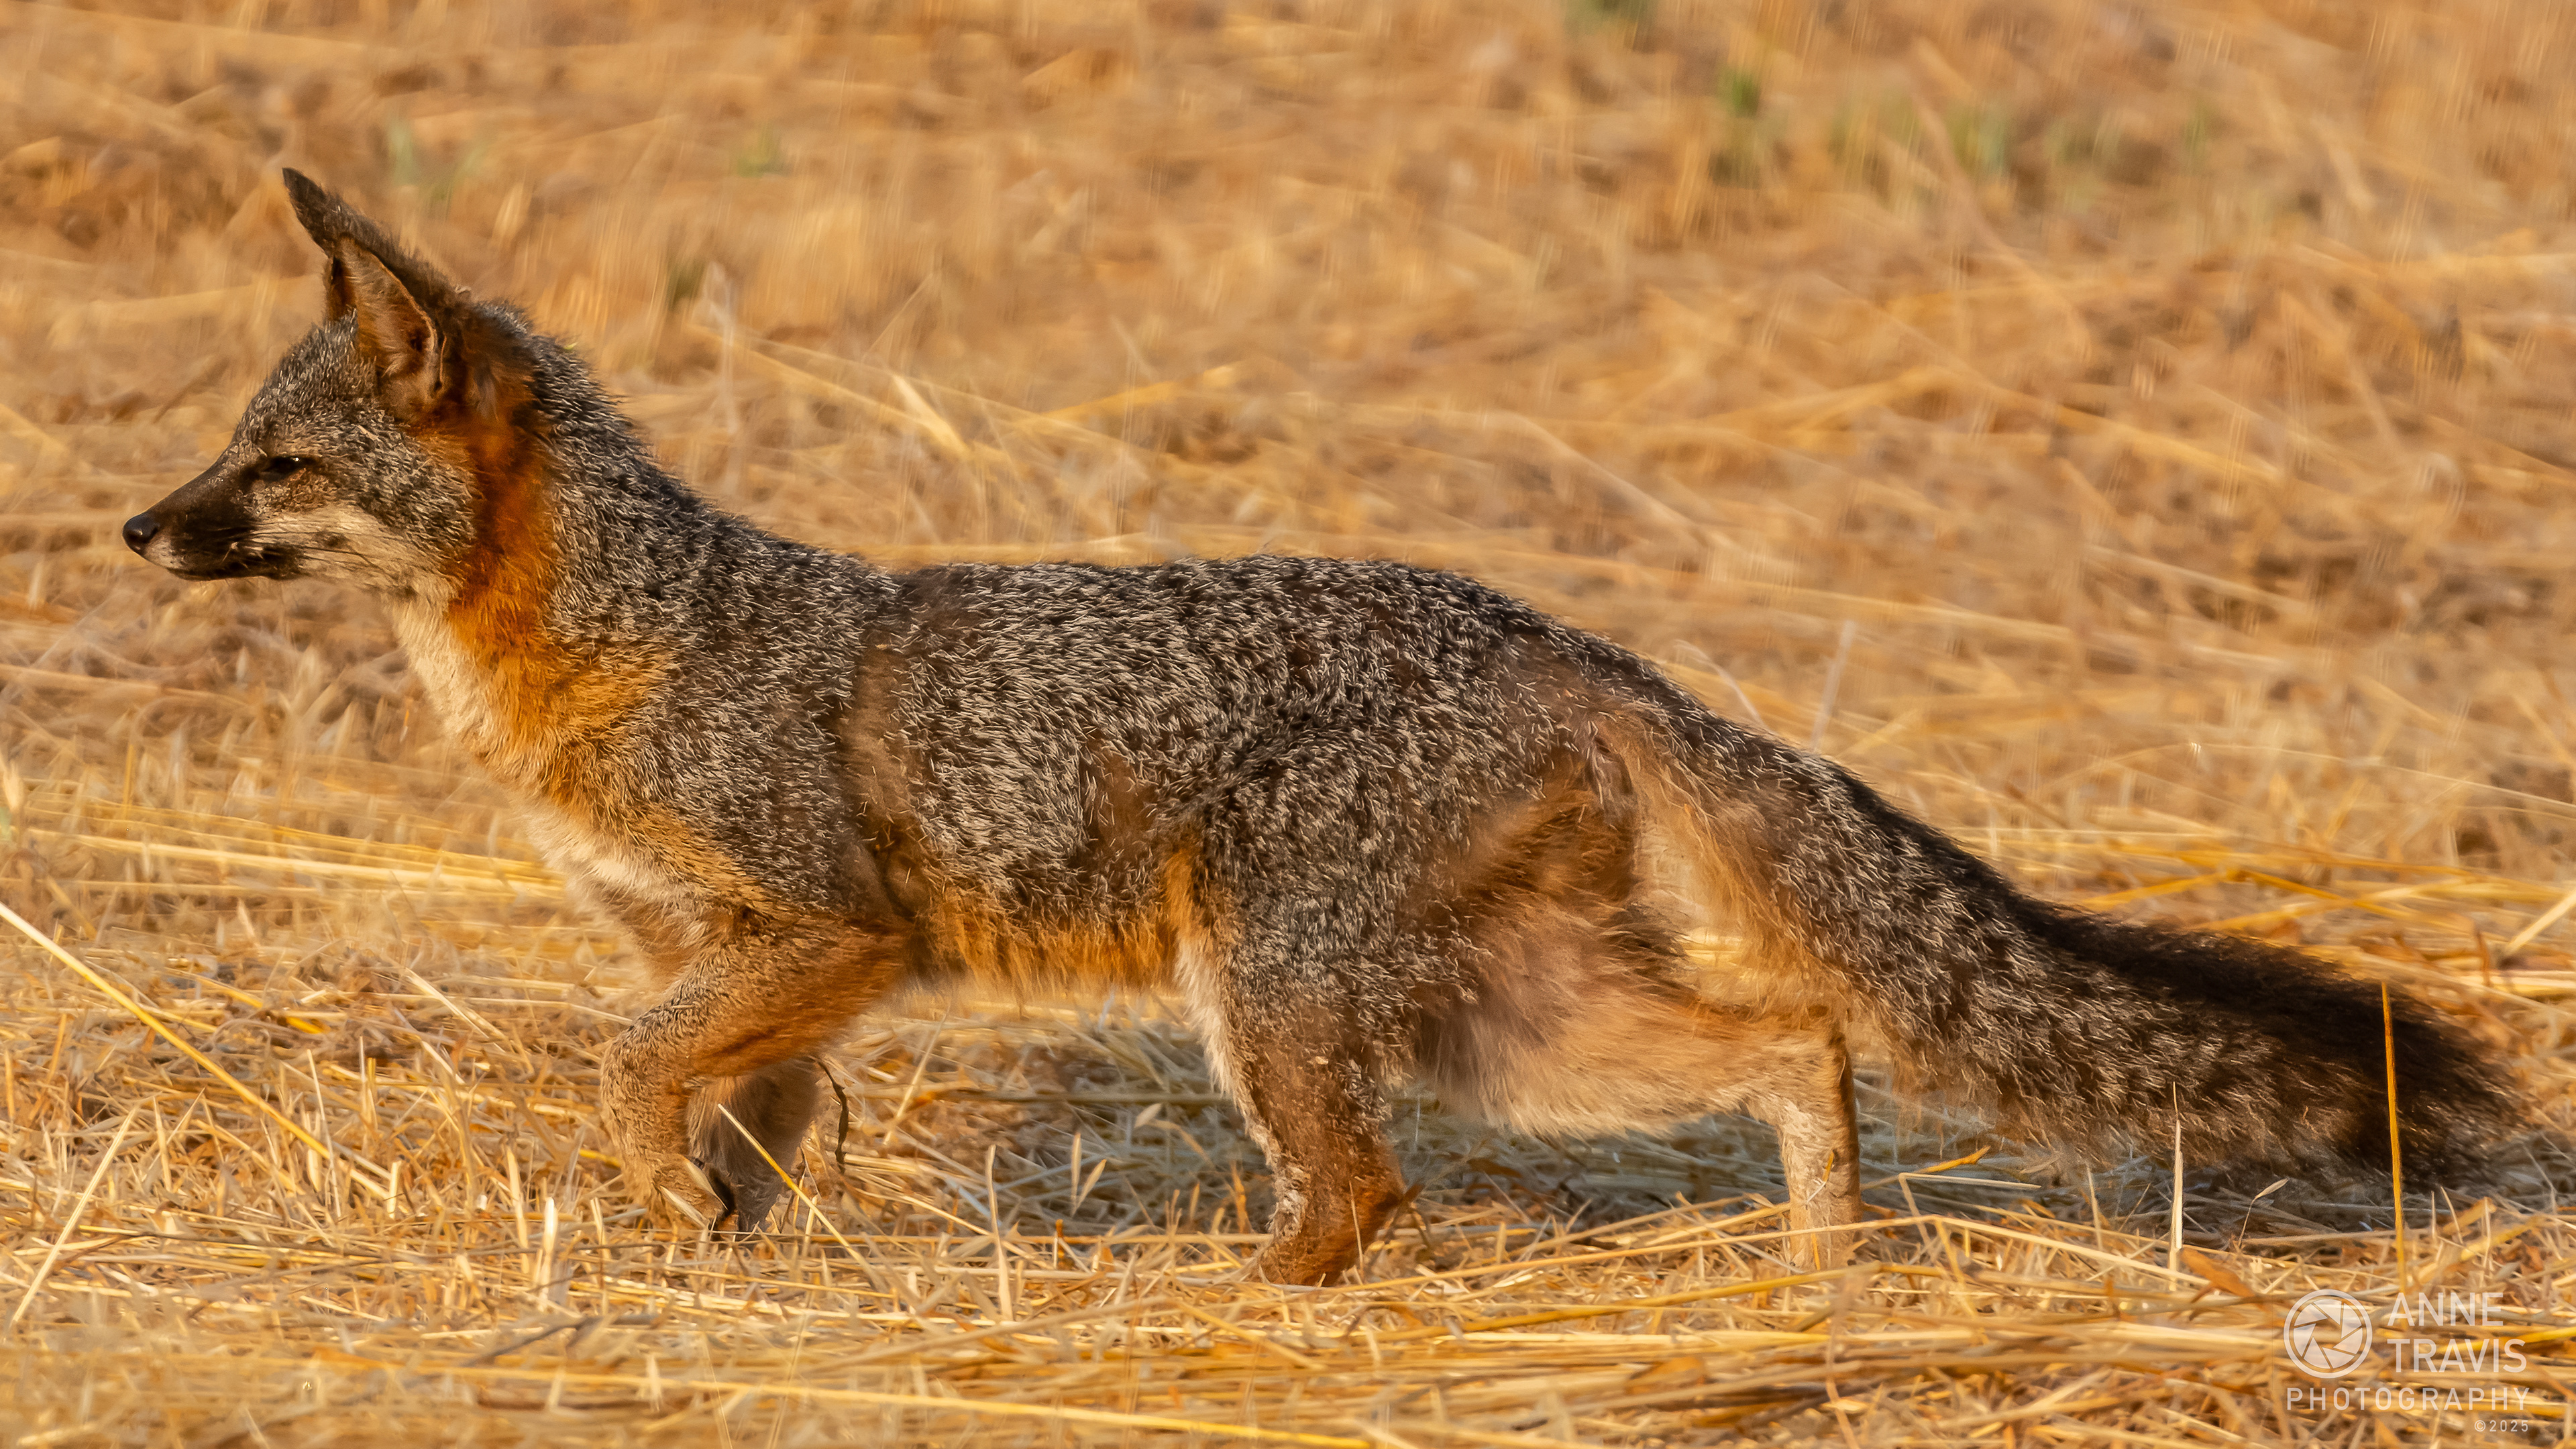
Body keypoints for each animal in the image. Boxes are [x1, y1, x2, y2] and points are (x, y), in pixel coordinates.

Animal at [123, 170, 2521, 1284]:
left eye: (273, 467)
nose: (136, 526)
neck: (602, 645)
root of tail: (1560, 632)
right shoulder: (741, 971)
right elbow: (735, 1137)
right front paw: (719, 1270)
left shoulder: (820, 938)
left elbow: (633, 1079)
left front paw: (665, 1227)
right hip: (1503, 1018)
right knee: (1797, 1040)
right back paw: (1823, 1277)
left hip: (1270, 999)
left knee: (1364, 1183)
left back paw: (1250, 1298)